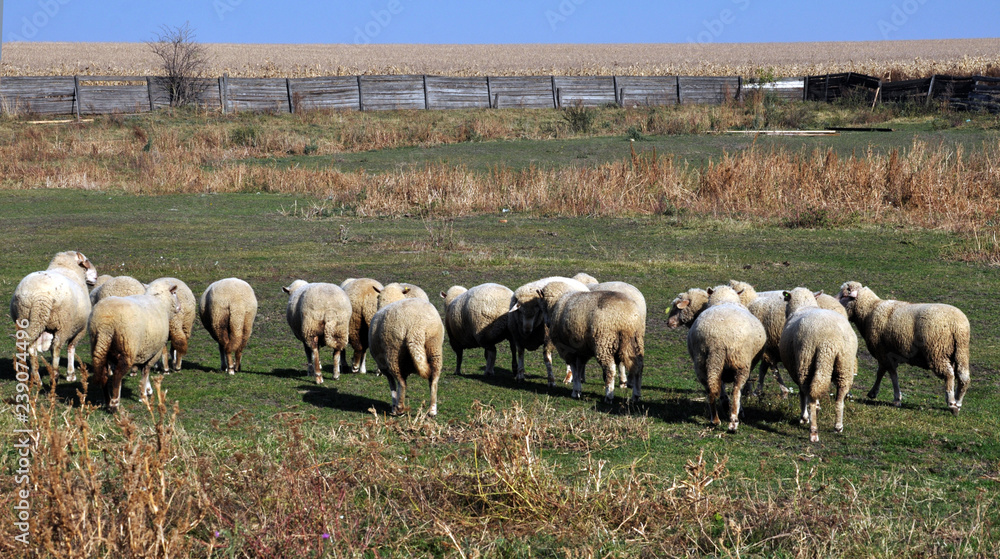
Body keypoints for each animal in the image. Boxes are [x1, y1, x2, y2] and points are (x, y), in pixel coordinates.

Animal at [10, 251, 97, 383]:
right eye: (86, 261)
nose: (96, 277)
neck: (66, 267)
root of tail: (39, 296)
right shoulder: (80, 329)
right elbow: (71, 348)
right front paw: (70, 374)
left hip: (27, 319)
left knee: (31, 349)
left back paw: (36, 379)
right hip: (63, 324)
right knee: (57, 347)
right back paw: (54, 376)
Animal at [89, 280, 180, 411]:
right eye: (174, 293)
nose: (179, 307)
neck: (160, 302)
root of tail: (105, 324)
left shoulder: (145, 350)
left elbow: (144, 371)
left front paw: (148, 390)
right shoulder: (154, 352)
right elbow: (146, 372)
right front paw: (144, 396)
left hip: (99, 346)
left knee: (104, 375)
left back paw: (107, 402)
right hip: (128, 348)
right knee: (117, 376)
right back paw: (114, 404)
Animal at [686, 285, 766, 432]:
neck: (724, 299)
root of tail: (717, 341)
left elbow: (721, 389)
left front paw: (724, 404)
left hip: (702, 363)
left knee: (710, 389)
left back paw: (715, 420)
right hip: (741, 363)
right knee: (736, 391)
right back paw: (734, 421)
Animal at [779, 288, 859, 442]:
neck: (804, 305)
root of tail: (830, 342)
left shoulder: (797, 368)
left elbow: (802, 394)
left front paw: (804, 418)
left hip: (806, 361)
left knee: (810, 395)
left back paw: (813, 432)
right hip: (844, 364)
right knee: (840, 397)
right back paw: (838, 426)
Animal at [838, 281, 971, 414]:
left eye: (844, 295)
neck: (869, 310)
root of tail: (956, 324)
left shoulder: (882, 352)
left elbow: (887, 373)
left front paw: (893, 397)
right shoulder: (888, 354)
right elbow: (885, 372)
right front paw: (878, 394)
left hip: (937, 352)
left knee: (949, 375)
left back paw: (952, 403)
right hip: (961, 351)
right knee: (964, 377)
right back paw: (958, 402)